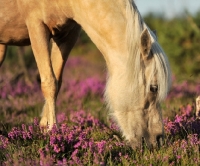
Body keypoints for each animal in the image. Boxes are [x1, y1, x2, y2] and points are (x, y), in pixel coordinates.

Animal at [0, 0, 172, 148]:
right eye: (154, 88)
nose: (158, 140)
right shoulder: (36, 26)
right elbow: (49, 83)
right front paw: (53, 132)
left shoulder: (67, 35)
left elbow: (57, 82)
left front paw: (45, 128)